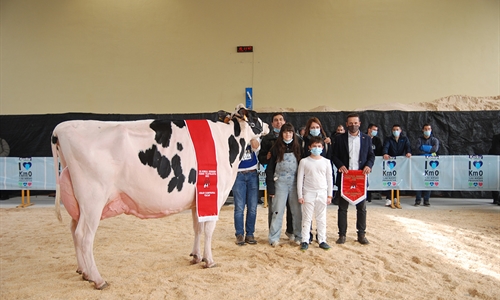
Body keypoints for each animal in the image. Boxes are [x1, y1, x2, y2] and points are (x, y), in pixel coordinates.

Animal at [50, 105, 268, 288]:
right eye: (256, 116)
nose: (268, 126)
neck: (227, 141)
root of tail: (61, 128)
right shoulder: (214, 196)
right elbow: (208, 231)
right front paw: (210, 261)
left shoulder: (197, 201)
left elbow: (197, 228)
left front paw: (196, 256)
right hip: (93, 200)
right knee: (84, 236)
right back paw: (97, 279)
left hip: (79, 202)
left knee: (73, 230)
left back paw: (83, 272)